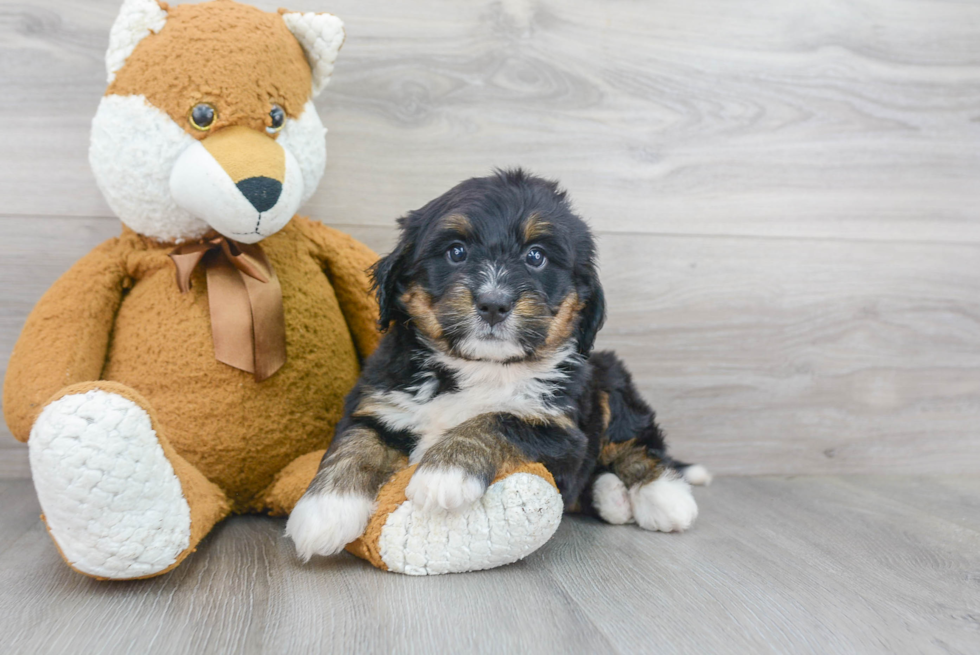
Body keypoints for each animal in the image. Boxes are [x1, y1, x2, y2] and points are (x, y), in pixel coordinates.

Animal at [288, 168, 708, 560]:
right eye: (456, 251)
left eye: (536, 256)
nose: (493, 303)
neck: (480, 365)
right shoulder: (379, 400)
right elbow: (355, 442)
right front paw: (324, 510)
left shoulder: (562, 432)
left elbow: (498, 419)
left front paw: (445, 472)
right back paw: (612, 498)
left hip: (608, 376)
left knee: (635, 441)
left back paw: (663, 496)